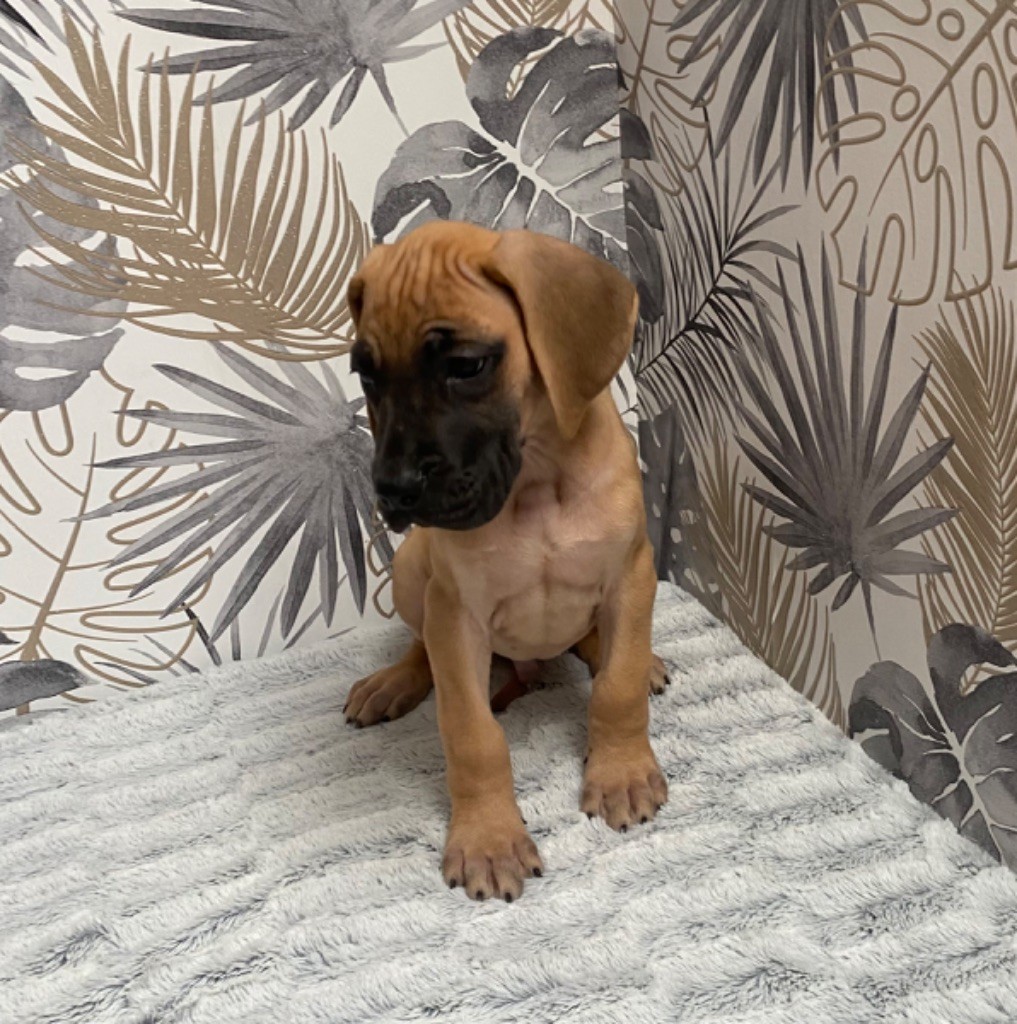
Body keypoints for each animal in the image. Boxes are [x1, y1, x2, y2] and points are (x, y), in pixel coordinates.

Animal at [343, 221, 668, 902]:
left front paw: (622, 771)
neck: (535, 482)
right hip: (413, 572)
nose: (392, 490)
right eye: (367, 376)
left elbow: (618, 688)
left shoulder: (631, 576)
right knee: (422, 646)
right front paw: (489, 839)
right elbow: (472, 736)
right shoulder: (457, 615)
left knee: (603, 647)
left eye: (466, 367)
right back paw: (394, 681)